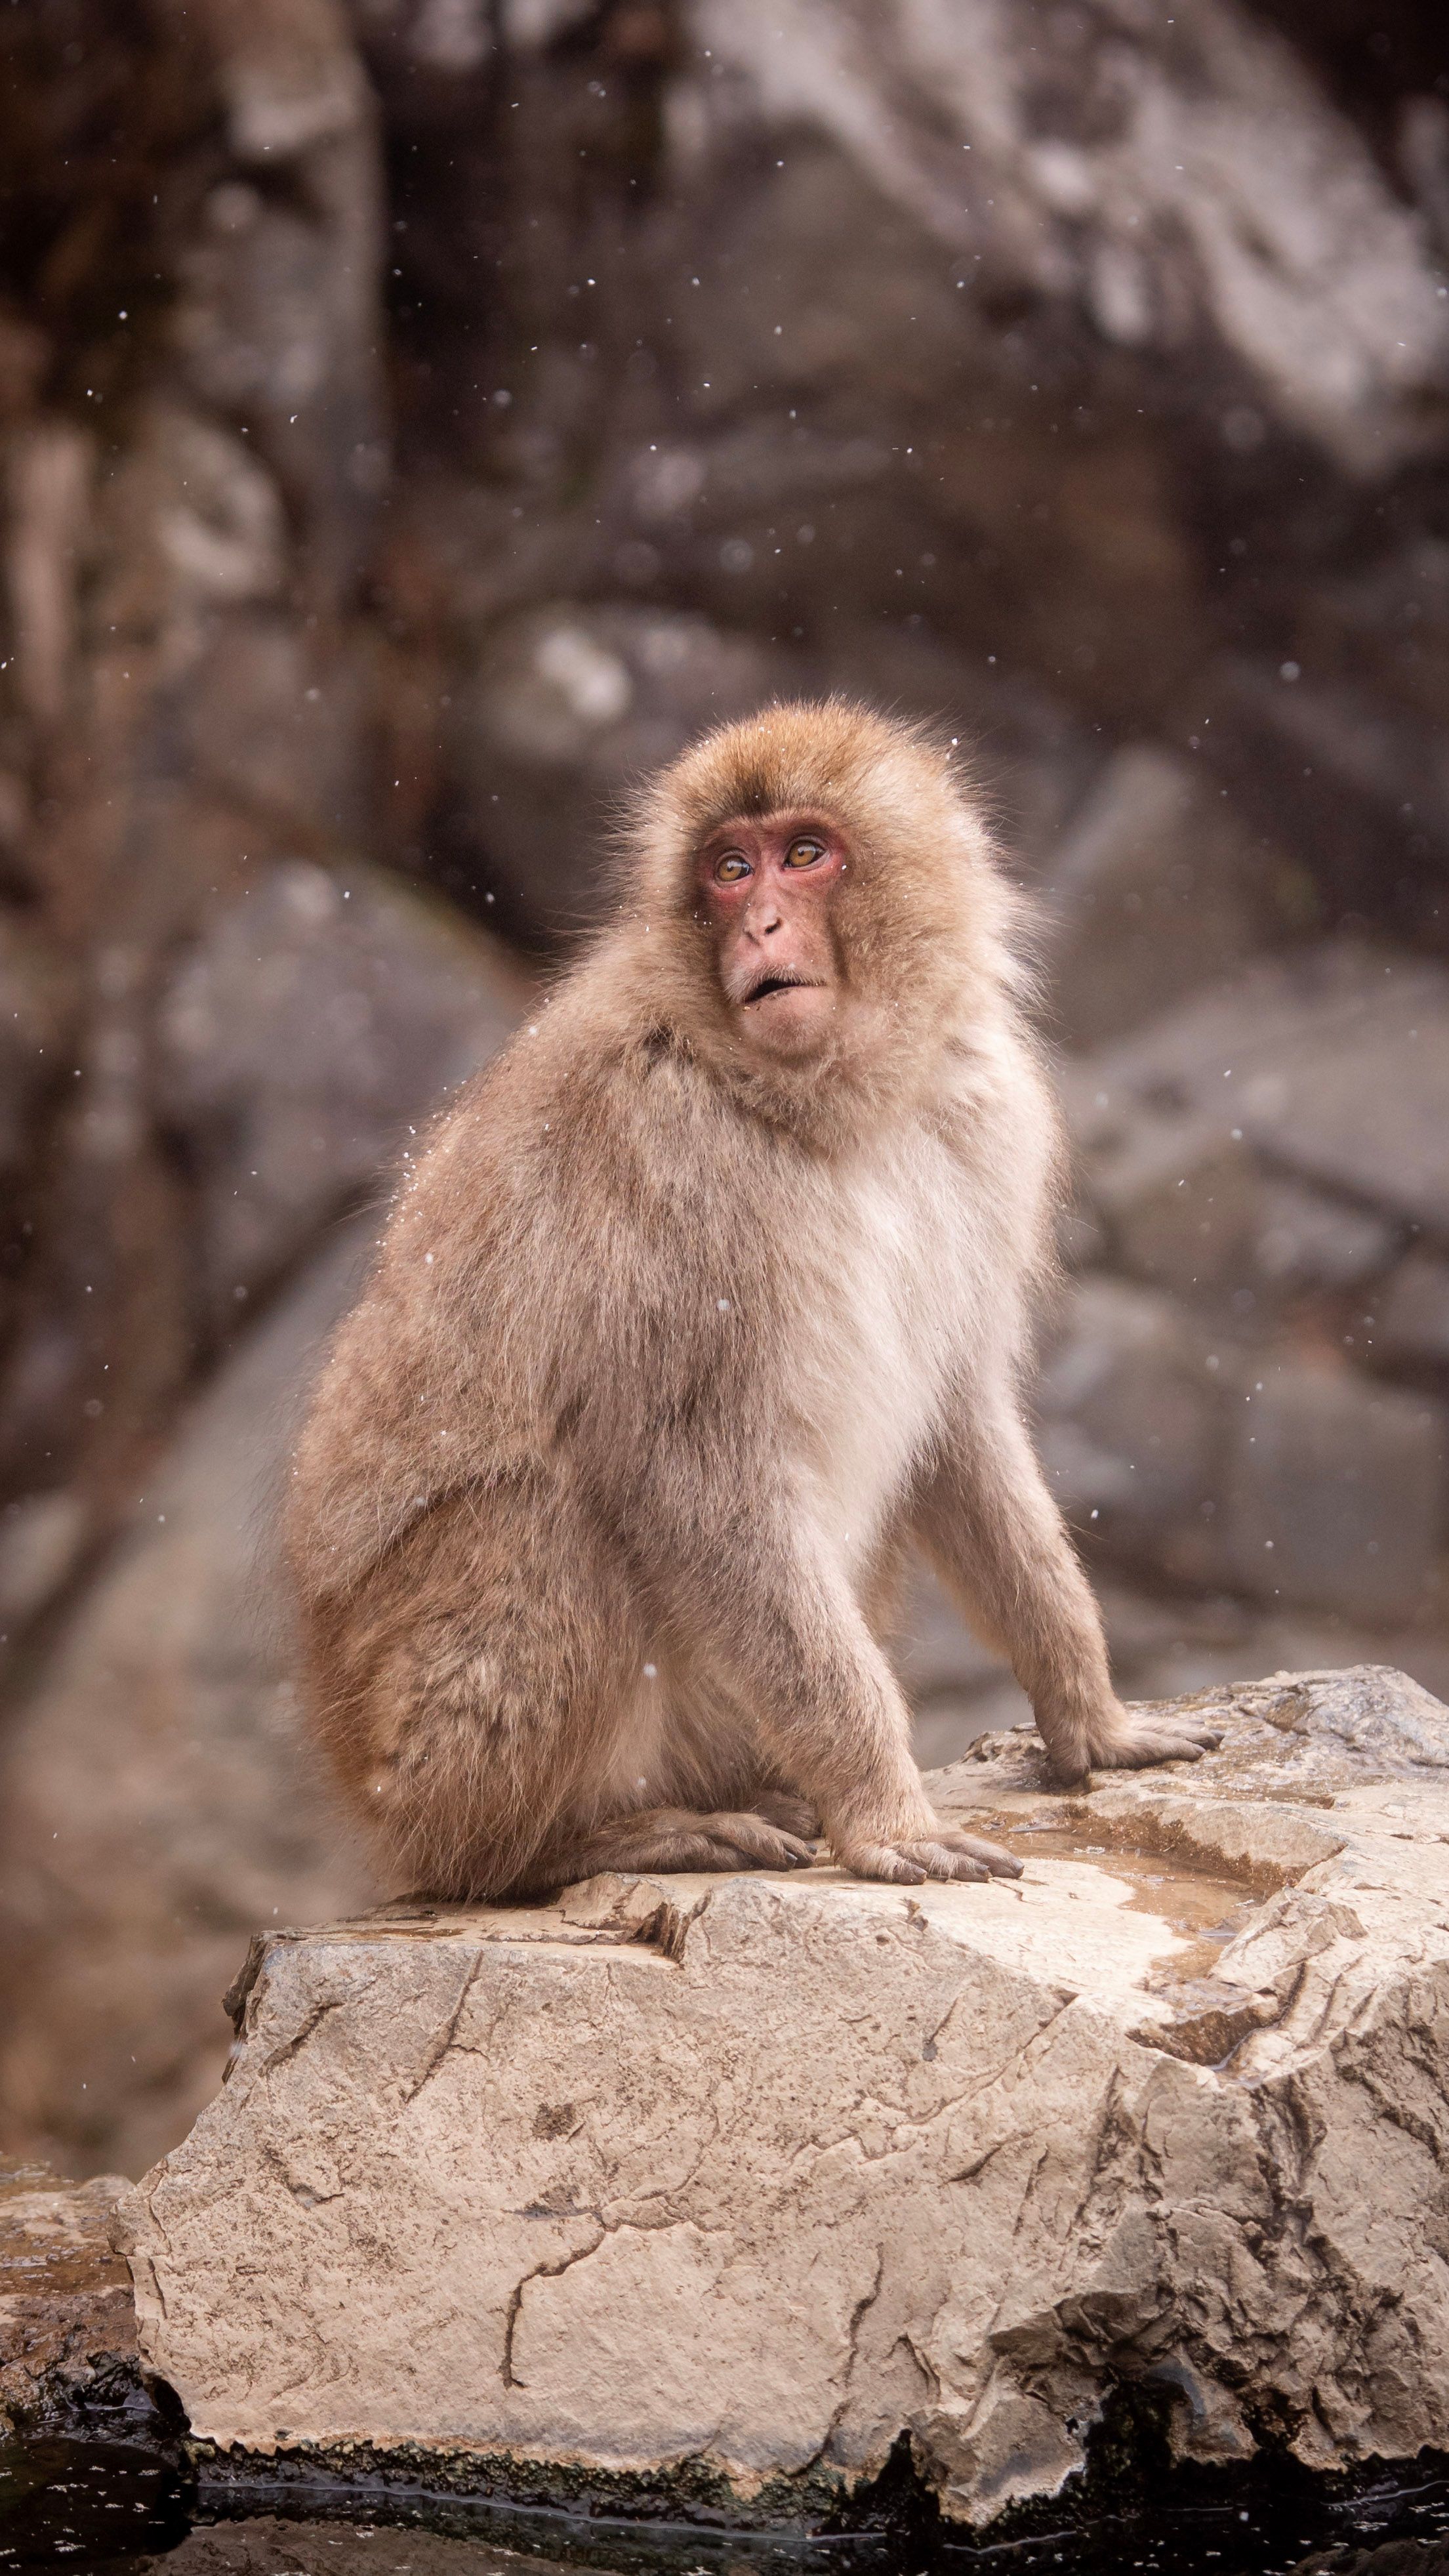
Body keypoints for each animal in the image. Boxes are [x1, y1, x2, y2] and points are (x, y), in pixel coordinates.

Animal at [286, 700, 1220, 1901]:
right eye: (729, 870)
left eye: (804, 853)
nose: (763, 923)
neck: (832, 1100)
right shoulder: (667, 1163)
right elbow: (691, 1477)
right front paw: (883, 1811)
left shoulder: (986, 1115)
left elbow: (961, 1425)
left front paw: (1090, 1716)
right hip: (412, 1747)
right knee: (554, 1521)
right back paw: (570, 1845)